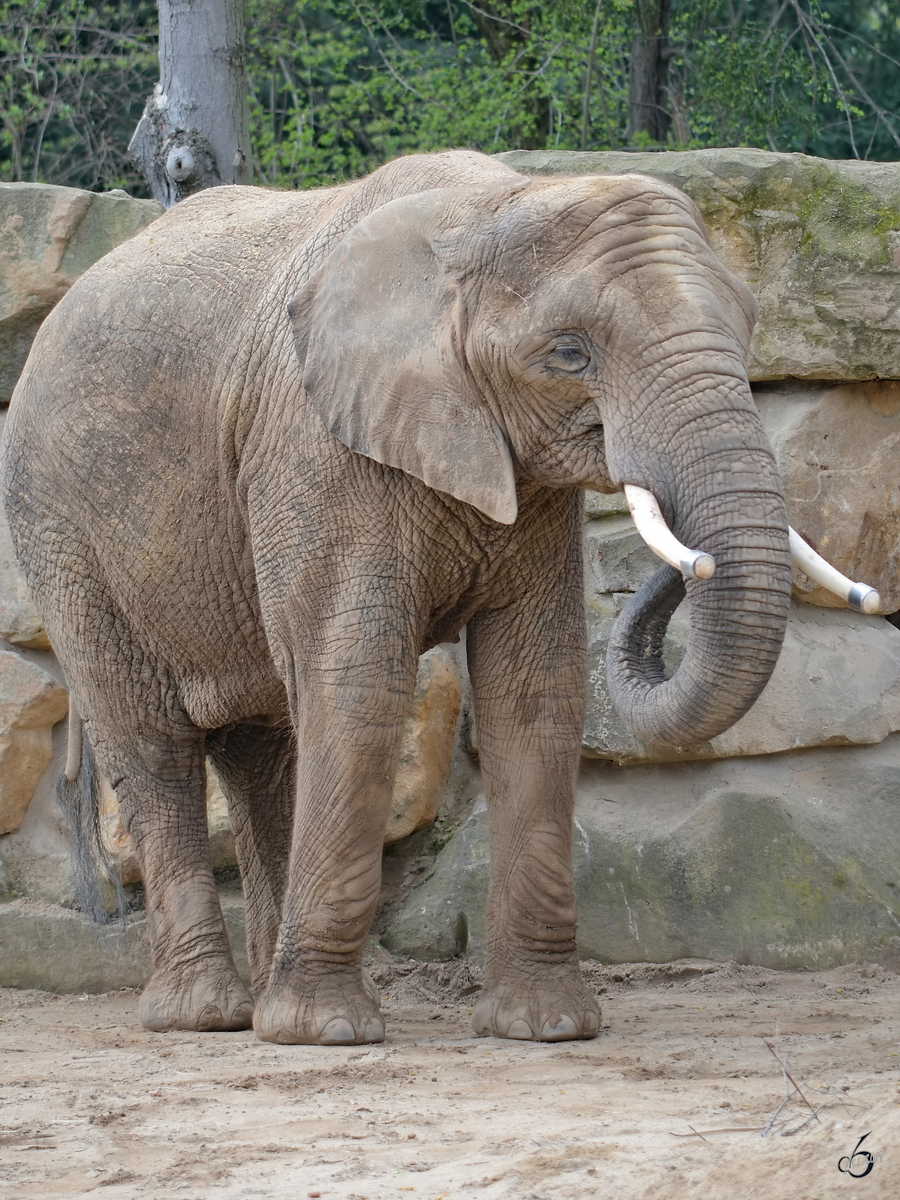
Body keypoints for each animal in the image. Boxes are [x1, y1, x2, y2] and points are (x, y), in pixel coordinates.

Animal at [0, 150, 792, 1046]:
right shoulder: (316, 452)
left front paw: (545, 1027)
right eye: (568, 354)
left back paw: (261, 1002)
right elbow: (359, 682)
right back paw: (207, 1016)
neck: (491, 203)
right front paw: (325, 1034)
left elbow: (536, 688)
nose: (688, 560)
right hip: (61, 532)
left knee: (259, 747)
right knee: (150, 740)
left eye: (748, 323)